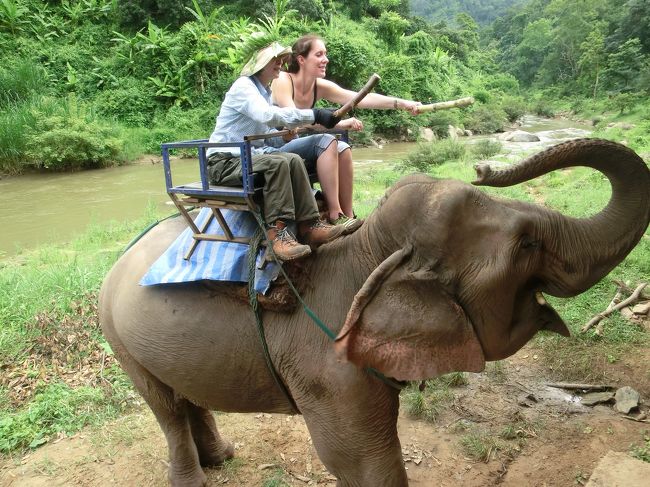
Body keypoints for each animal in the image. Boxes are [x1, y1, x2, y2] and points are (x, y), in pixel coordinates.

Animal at [100, 138, 648, 487]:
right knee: (164, 406)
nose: (484, 168)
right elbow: (359, 462)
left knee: (183, 395)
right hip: (118, 337)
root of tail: (119, 260)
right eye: (527, 244)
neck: (369, 250)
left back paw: (224, 457)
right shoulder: (327, 368)